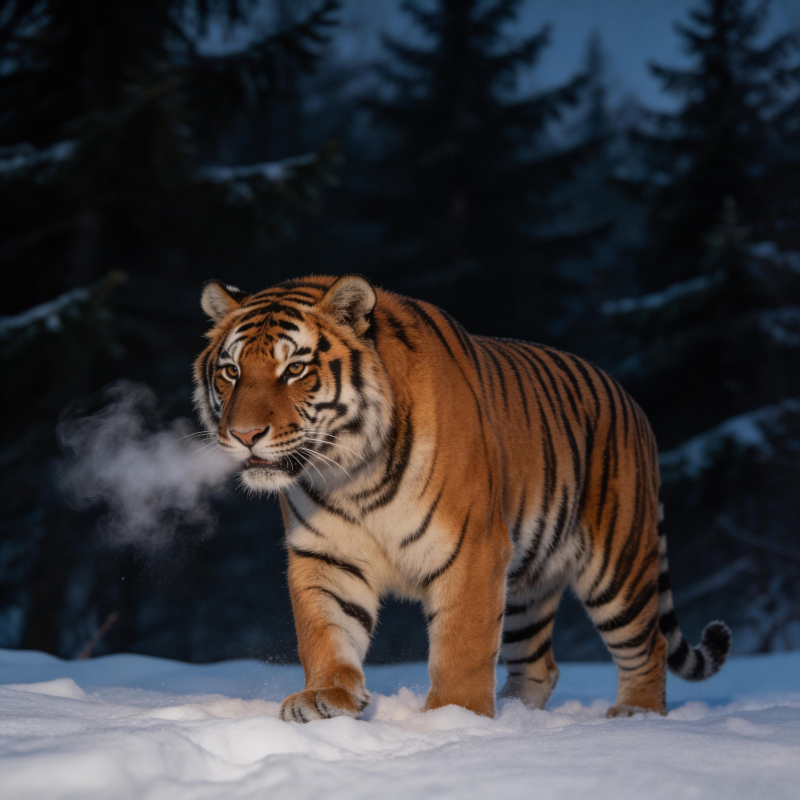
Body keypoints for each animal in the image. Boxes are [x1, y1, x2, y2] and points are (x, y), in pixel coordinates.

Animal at [194, 273, 731, 722]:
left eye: (295, 369)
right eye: (231, 371)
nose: (244, 435)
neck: (352, 472)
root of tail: (630, 399)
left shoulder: (472, 549)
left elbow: (462, 647)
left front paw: (455, 718)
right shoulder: (327, 553)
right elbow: (325, 632)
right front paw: (325, 698)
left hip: (618, 565)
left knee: (649, 645)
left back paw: (636, 714)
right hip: (527, 584)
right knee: (540, 665)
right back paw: (517, 714)